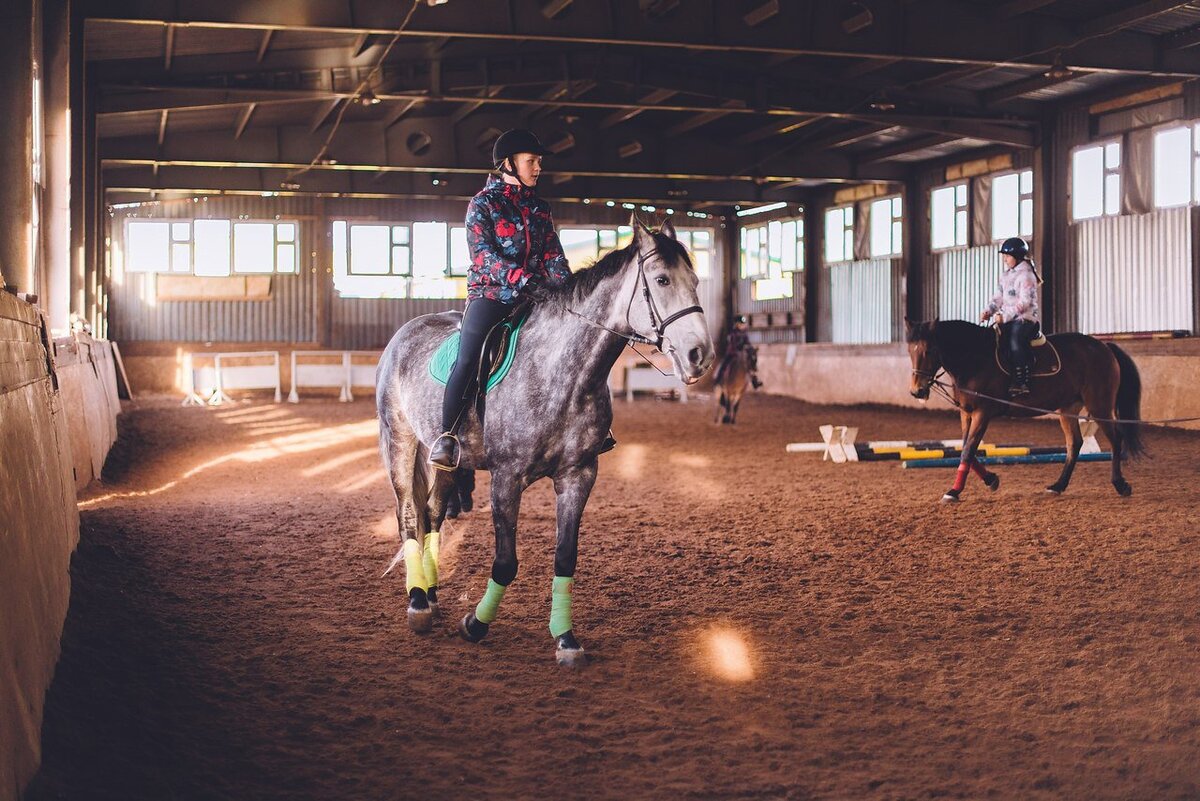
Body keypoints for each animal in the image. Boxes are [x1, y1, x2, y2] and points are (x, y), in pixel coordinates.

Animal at [376, 219, 710, 661]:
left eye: (695, 281)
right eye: (661, 279)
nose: (698, 354)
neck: (562, 373)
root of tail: (405, 333)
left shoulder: (578, 475)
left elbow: (565, 558)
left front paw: (565, 638)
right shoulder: (507, 478)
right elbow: (505, 561)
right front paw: (476, 625)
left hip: (447, 459)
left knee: (432, 511)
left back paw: (430, 595)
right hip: (399, 439)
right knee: (409, 514)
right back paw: (417, 603)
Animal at [907, 316, 1142, 501]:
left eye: (929, 351)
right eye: (911, 351)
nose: (917, 391)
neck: (975, 359)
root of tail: (1104, 347)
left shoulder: (982, 413)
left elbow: (968, 450)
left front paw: (954, 491)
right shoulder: (966, 412)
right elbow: (967, 449)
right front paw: (991, 480)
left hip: (1100, 406)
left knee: (1115, 439)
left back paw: (1120, 484)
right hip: (1068, 408)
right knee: (1074, 444)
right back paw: (1058, 486)